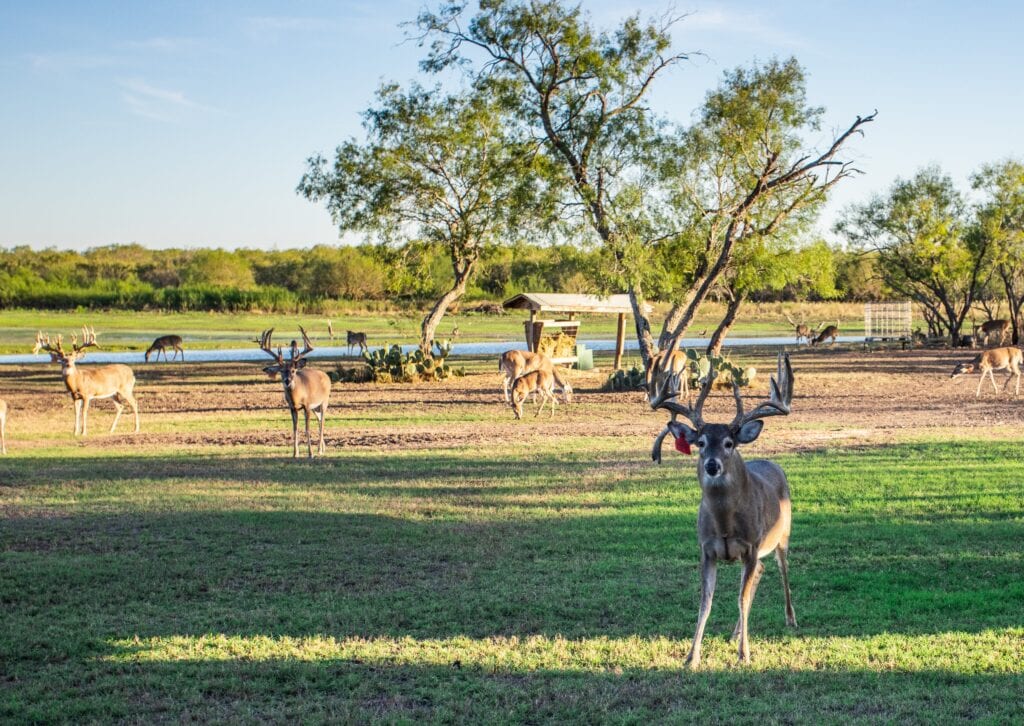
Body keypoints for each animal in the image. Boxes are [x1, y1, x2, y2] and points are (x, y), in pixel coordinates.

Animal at [258, 325, 329, 456]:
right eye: (281, 371)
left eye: (293, 371)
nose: (287, 381)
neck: (297, 397)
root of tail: (326, 375)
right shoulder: (292, 408)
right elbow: (295, 429)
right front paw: (295, 454)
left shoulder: (307, 405)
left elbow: (307, 428)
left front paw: (310, 453)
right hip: (315, 408)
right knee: (320, 419)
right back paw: (322, 448)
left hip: (324, 401)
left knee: (322, 421)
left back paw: (319, 450)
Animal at [647, 354, 798, 663]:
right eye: (701, 442)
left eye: (729, 443)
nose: (712, 465)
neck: (726, 524)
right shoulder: (706, 549)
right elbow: (706, 600)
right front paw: (692, 656)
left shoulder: (751, 546)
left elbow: (741, 596)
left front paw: (745, 655)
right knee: (761, 571)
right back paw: (734, 633)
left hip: (783, 534)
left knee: (782, 568)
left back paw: (790, 619)